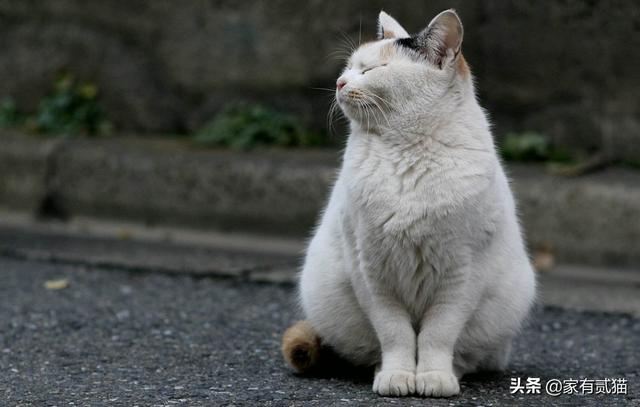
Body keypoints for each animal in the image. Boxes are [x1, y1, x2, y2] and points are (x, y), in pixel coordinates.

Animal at [282, 8, 536, 398]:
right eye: (350, 66)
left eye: (372, 69)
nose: (339, 82)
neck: (406, 151)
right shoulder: (370, 271)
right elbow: (395, 333)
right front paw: (397, 375)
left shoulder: (463, 275)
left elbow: (438, 334)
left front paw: (433, 376)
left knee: (471, 354)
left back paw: (454, 370)